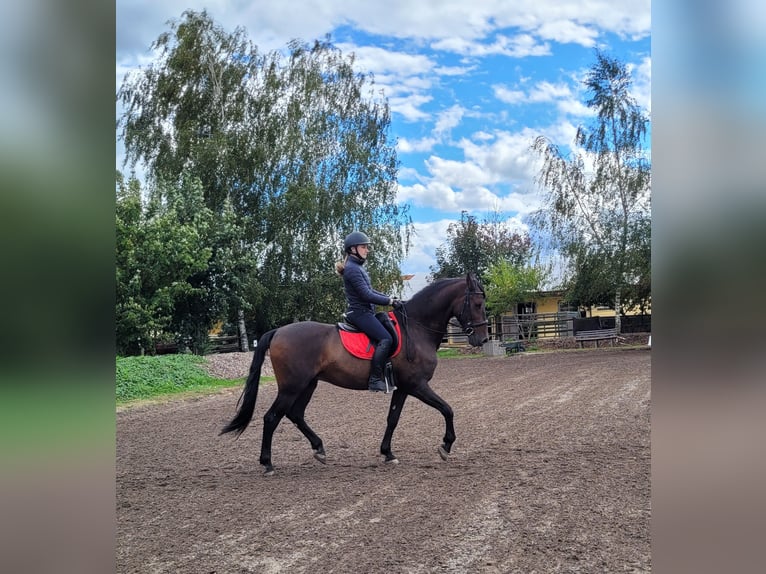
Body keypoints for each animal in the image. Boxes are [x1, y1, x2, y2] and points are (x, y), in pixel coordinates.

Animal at [220, 272, 492, 474]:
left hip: (308, 384)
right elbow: (447, 409)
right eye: (478, 304)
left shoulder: (403, 388)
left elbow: (393, 418)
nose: (482, 339)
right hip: (292, 386)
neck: (416, 328)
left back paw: (319, 450)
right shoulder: (417, 385)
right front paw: (446, 445)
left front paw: (388, 453)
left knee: (295, 414)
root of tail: (278, 331)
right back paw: (267, 463)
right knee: (272, 417)